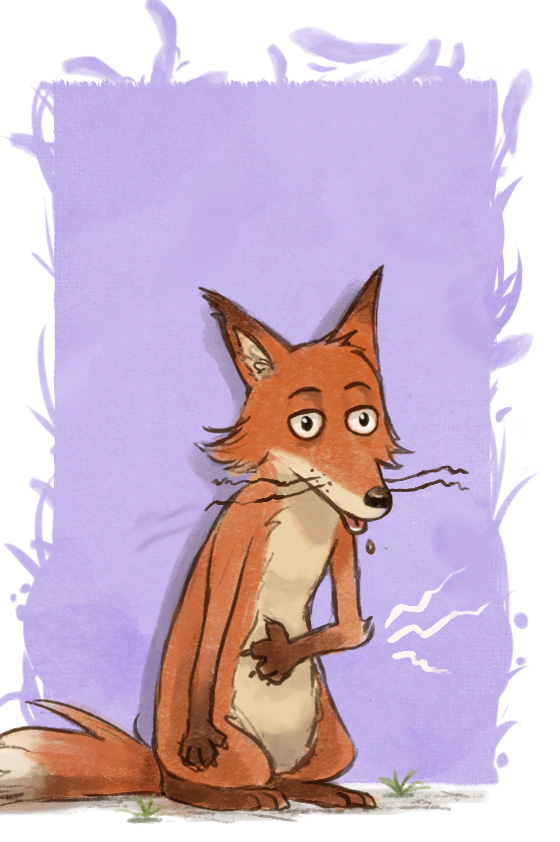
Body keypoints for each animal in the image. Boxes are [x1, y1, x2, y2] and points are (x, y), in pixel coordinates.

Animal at [0, 266, 405, 812]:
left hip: (335, 740)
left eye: (364, 418)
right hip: (236, 754)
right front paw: (202, 735)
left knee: (291, 777)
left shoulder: (343, 545)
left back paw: (322, 790)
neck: (304, 511)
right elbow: (215, 630)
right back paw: (242, 795)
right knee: (190, 786)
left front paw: (283, 655)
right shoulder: (240, 542)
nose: (378, 500)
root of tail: (155, 761)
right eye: (306, 423)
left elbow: (349, 628)